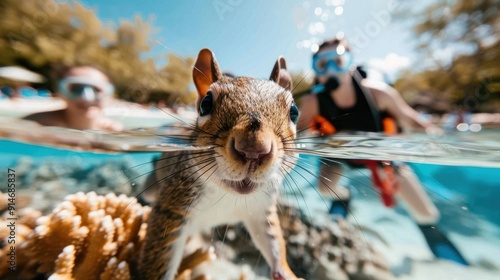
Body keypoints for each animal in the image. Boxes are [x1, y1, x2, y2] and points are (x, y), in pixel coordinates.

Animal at [138, 48, 300, 280]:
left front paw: (287, 273)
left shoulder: (262, 210)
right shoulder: (172, 209)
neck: (228, 195)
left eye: (294, 111)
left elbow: (274, 242)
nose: (253, 148)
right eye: (205, 104)